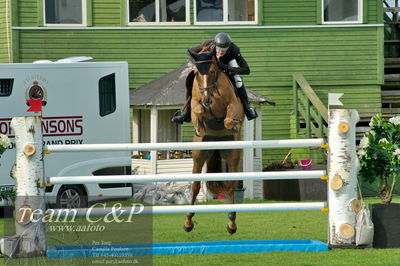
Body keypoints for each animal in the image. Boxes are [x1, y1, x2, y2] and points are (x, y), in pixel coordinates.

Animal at [184, 46, 244, 234]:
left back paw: (232, 223)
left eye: (212, 71)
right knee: (195, 186)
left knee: (230, 186)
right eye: (196, 73)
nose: (207, 100)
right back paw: (188, 222)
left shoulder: (234, 105)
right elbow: (197, 109)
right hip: (199, 155)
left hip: (232, 155)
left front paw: (232, 124)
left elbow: (229, 116)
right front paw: (200, 126)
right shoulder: (196, 102)